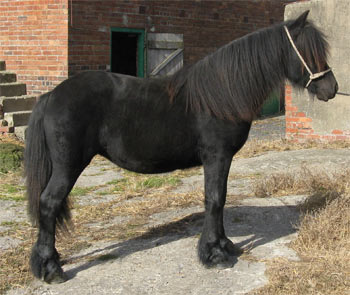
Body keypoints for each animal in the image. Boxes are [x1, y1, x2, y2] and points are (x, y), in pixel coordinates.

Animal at [25, 11, 340, 284]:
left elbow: (220, 199)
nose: (332, 89)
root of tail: (52, 95)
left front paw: (224, 245)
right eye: (308, 51)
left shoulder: (222, 160)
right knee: (48, 203)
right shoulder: (217, 156)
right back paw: (51, 269)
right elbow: (214, 199)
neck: (222, 95)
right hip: (68, 166)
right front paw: (214, 254)